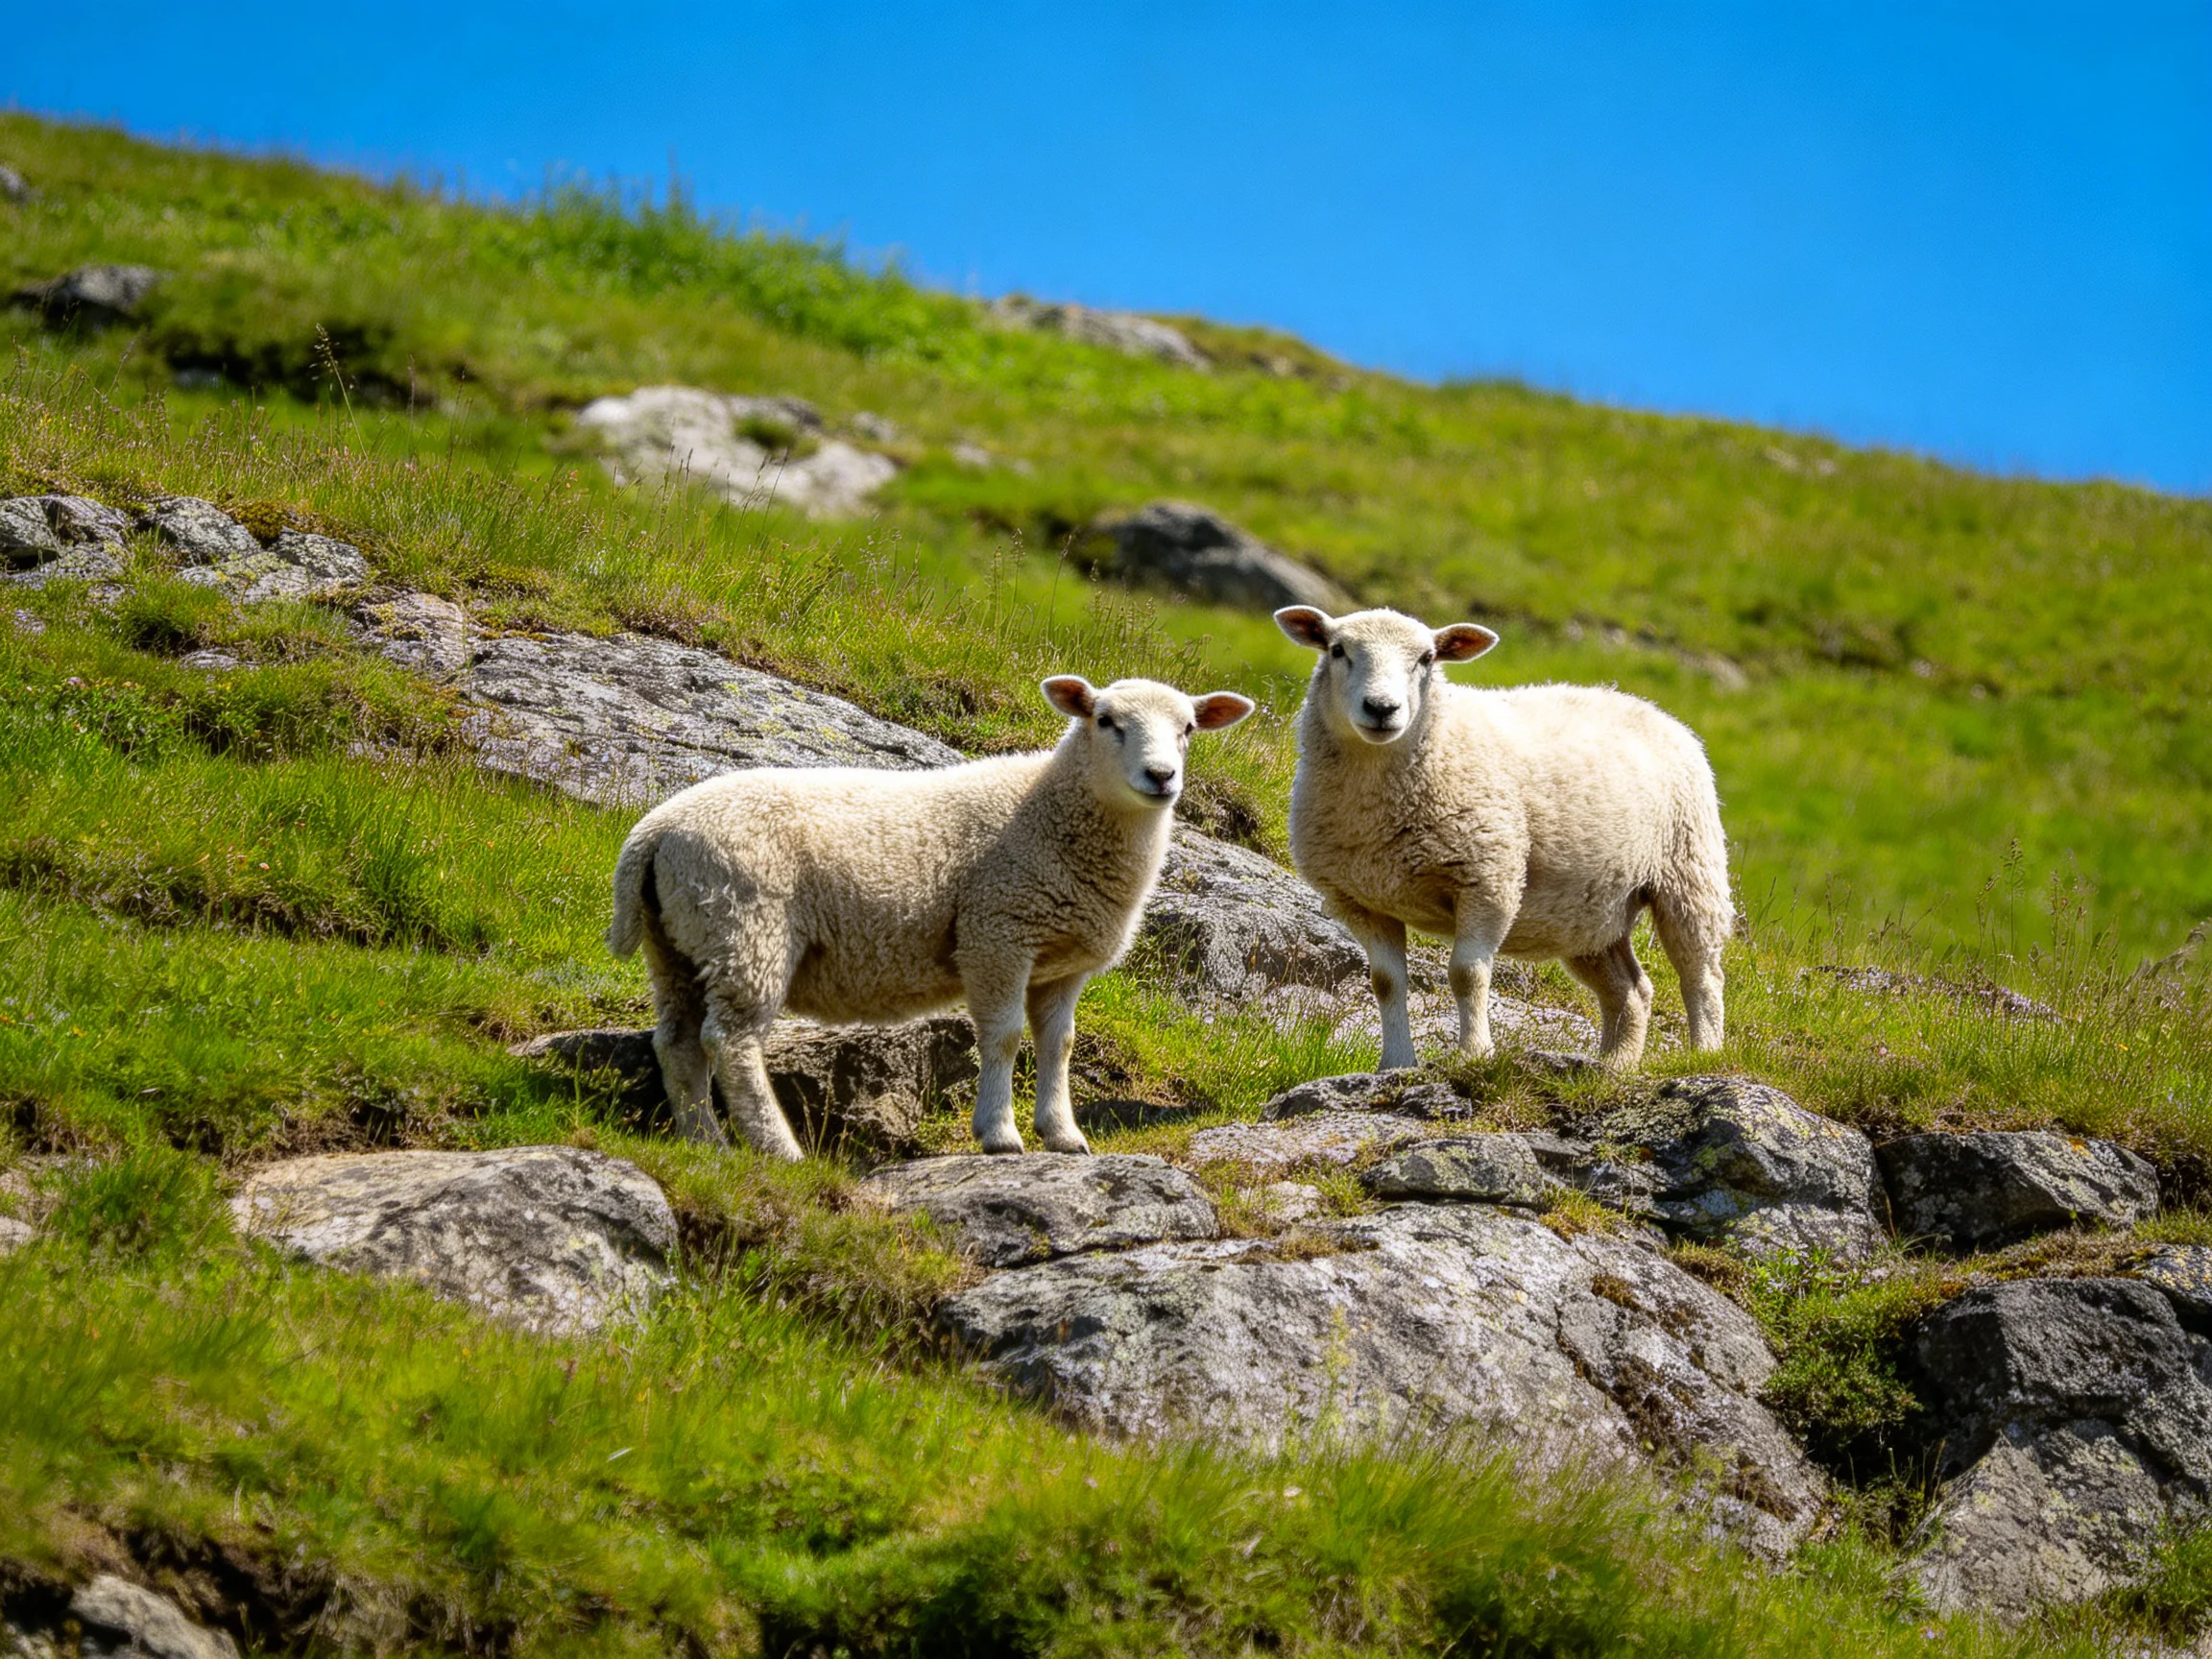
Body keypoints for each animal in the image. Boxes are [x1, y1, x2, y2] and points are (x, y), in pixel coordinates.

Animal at [606, 676, 1255, 1157]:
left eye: (1188, 729)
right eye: (1106, 721)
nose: (1161, 776)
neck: (1051, 810)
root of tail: (655, 830)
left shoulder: (1061, 961)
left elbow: (1059, 1043)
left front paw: (1063, 1134)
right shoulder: (996, 931)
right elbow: (1004, 1037)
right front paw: (1000, 1134)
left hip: (681, 941)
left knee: (678, 1043)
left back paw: (705, 1144)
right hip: (746, 928)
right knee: (730, 1042)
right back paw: (778, 1149)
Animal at [1274, 604, 1731, 1071]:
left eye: (1426, 658)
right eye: (1337, 650)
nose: (1382, 708)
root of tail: (1647, 706)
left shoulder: (1489, 880)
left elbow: (1467, 974)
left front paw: (1475, 1053)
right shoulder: (1362, 901)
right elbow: (1386, 982)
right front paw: (1397, 1064)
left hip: (1690, 873)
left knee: (1701, 975)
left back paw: (1704, 1055)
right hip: (1590, 913)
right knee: (1630, 990)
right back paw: (1612, 1067)